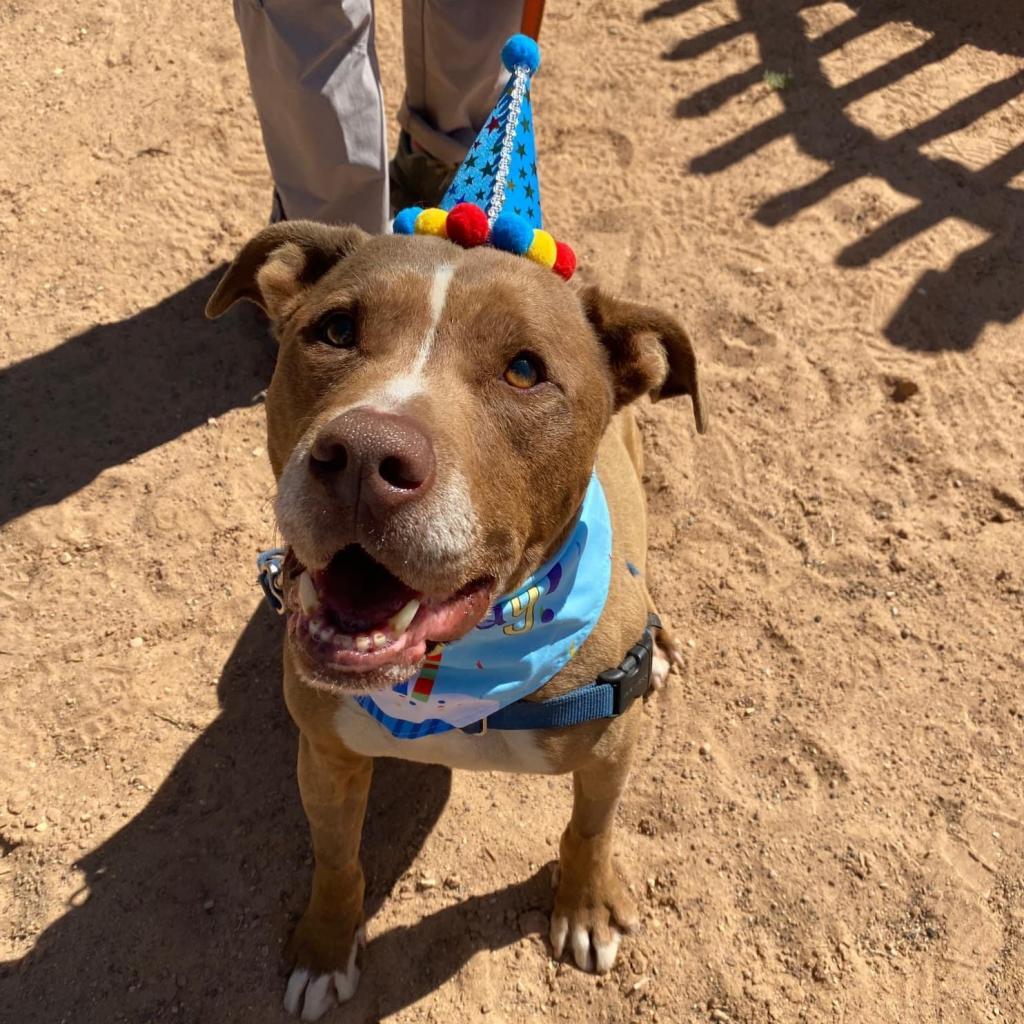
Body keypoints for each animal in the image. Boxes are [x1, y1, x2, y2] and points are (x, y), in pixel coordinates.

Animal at [207, 220, 704, 1019]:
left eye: (526, 371)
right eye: (336, 330)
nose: (364, 456)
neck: (463, 671)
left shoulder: (608, 750)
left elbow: (591, 828)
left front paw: (585, 906)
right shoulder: (327, 754)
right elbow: (337, 859)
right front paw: (325, 945)